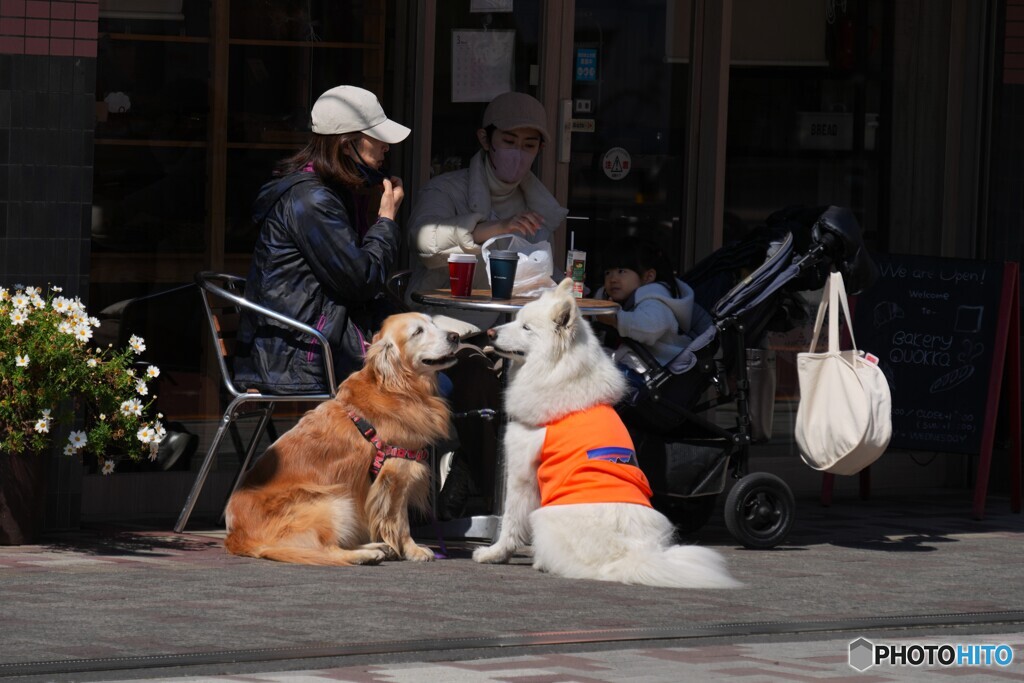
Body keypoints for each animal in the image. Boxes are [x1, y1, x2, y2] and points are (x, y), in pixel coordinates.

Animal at [229, 313, 464, 565]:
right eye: (417, 332)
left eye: (433, 323)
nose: (455, 336)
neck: (398, 387)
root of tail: (235, 537)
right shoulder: (396, 475)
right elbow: (400, 521)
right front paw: (413, 549)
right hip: (334, 501)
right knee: (327, 550)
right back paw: (366, 554)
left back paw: (377, 547)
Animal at [471, 280, 745, 589]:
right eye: (516, 320)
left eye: (526, 327)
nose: (490, 333)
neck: (558, 373)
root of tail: (628, 556)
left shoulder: (521, 474)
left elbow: (510, 520)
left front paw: (493, 554)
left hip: (546, 516)